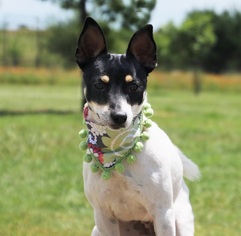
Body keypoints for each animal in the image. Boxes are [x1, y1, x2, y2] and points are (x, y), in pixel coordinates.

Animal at [75, 17, 200, 235]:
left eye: (134, 86)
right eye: (99, 85)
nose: (119, 116)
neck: (116, 153)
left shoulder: (163, 214)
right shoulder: (103, 215)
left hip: (179, 221)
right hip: (97, 229)